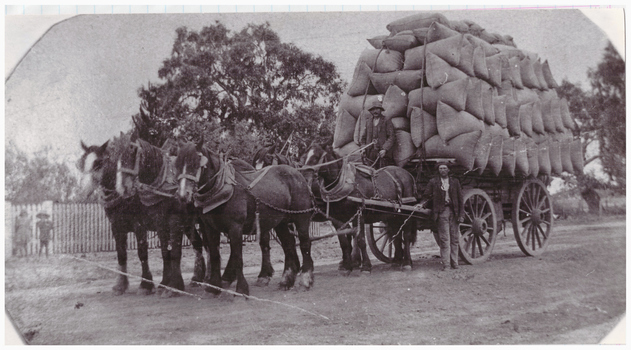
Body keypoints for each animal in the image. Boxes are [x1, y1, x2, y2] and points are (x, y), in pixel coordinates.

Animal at [77, 137, 156, 296]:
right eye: (82, 163)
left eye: (98, 163)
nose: (82, 191)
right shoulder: (116, 226)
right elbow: (121, 253)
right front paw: (120, 285)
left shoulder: (140, 226)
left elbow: (142, 253)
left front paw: (146, 285)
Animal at [175, 139, 316, 296]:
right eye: (178, 165)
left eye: (195, 164)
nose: (183, 195)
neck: (221, 188)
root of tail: (297, 174)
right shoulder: (210, 228)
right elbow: (215, 255)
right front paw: (214, 287)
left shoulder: (235, 227)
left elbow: (237, 256)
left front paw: (241, 288)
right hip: (281, 222)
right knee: (289, 244)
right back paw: (287, 281)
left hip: (301, 217)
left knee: (305, 244)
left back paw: (306, 279)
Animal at [302, 141, 420, 270]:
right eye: (304, 156)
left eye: (316, 157)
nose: (304, 178)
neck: (346, 183)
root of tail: (408, 175)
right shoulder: (337, 219)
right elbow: (344, 241)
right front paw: (347, 265)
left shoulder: (359, 215)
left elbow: (360, 240)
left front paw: (365, 266)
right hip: (392, 214)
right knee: (394, 234)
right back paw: (397, 260)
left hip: (407, 211)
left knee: (406, 235)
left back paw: (407, 262)